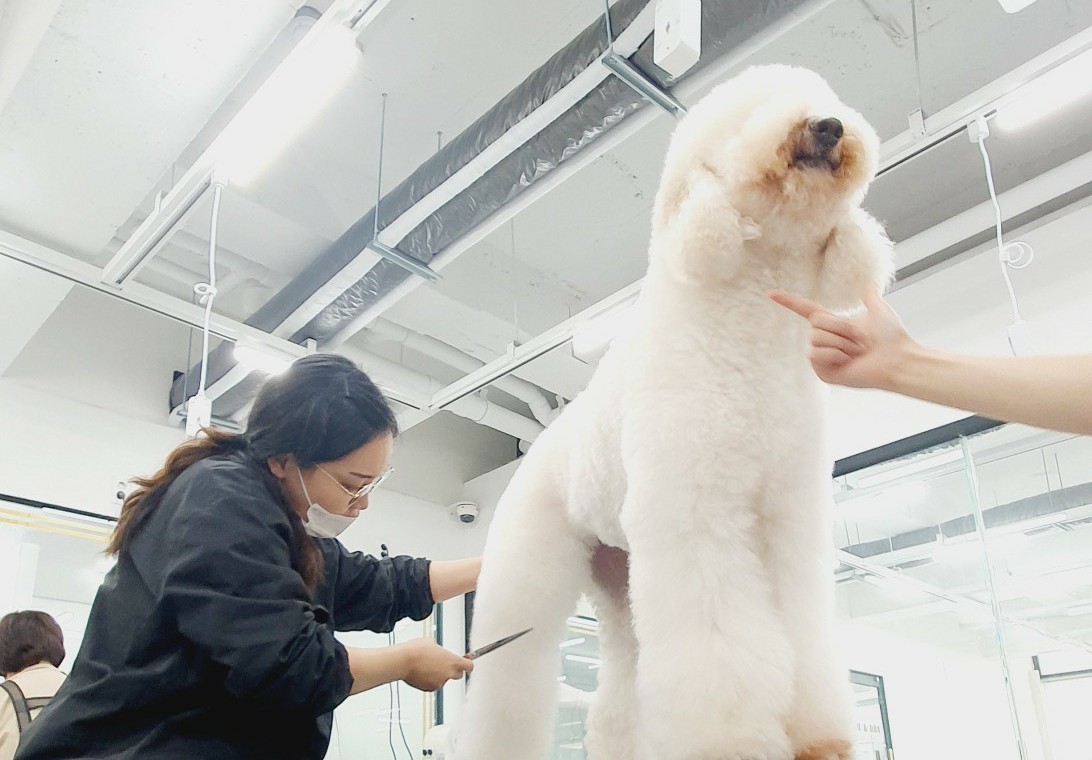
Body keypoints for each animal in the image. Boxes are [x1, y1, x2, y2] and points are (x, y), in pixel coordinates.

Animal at [454, 65, 895, 760]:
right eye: (747, 117)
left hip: (618, 574)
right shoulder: (697, 514)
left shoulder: (789, 517)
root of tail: (540, 449)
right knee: (508, 684)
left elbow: (800, 629)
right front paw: (733, 742)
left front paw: (817, 736)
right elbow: (719, 650)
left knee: (618, 694)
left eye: (825, 100)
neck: (748, 342)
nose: (826, 126)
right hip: (525, 568)